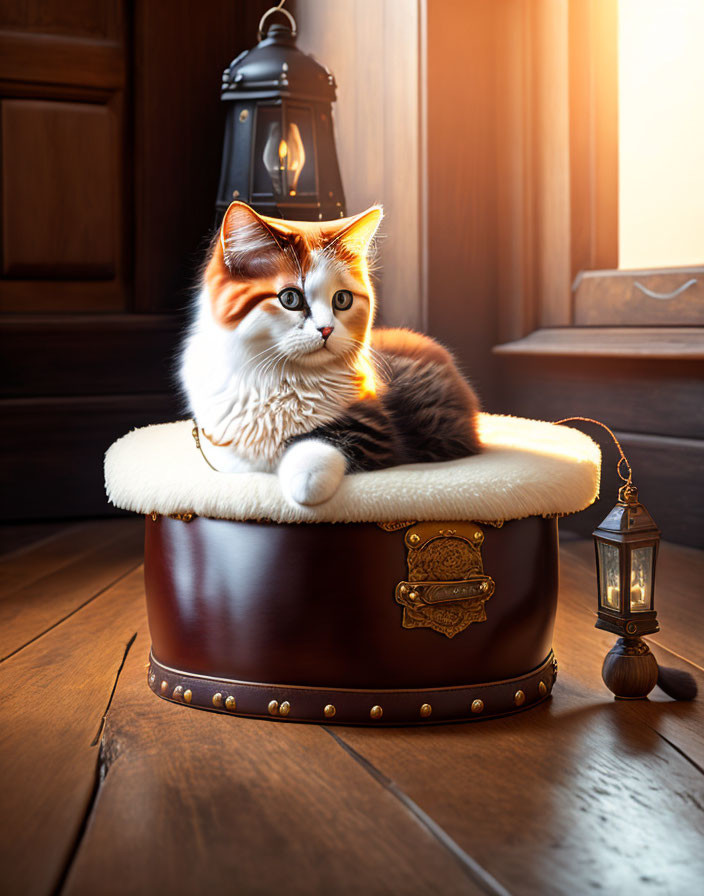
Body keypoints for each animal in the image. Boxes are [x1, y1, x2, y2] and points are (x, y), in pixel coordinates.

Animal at [179, 201, 482, 504]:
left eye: (342, 299)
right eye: (290, 298)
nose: (326, 330)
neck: (282, 379)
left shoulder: (374, 430)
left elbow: (318, 441)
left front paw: (305, 483)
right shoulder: (220, 440)